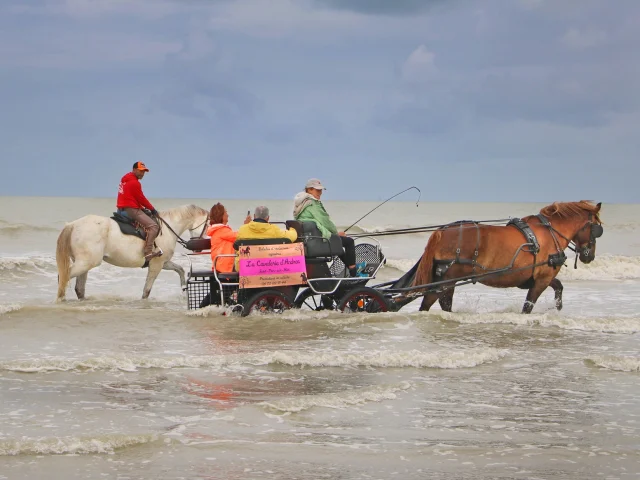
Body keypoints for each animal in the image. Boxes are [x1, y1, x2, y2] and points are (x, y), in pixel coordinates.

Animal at [55, 204, 208, 302]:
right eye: (208, 225)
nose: (198, 248)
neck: (167, 229)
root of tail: (73, 225)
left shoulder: (163, 263)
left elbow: (180, 269)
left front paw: (184, 289)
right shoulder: (156, 265)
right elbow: (147, 290)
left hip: (84, 264)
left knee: (79, 288)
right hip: (85, 263)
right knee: (63, 278)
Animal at [410, 201, 600, 314]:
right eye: (597, 229)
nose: (589, 256)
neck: (550, 232)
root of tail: (442, 231)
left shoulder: (541, 276)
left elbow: (559, 286)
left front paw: (557, 309)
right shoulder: (542, 279)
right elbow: (528, 306)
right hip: (446, 280)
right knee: (429, 303)